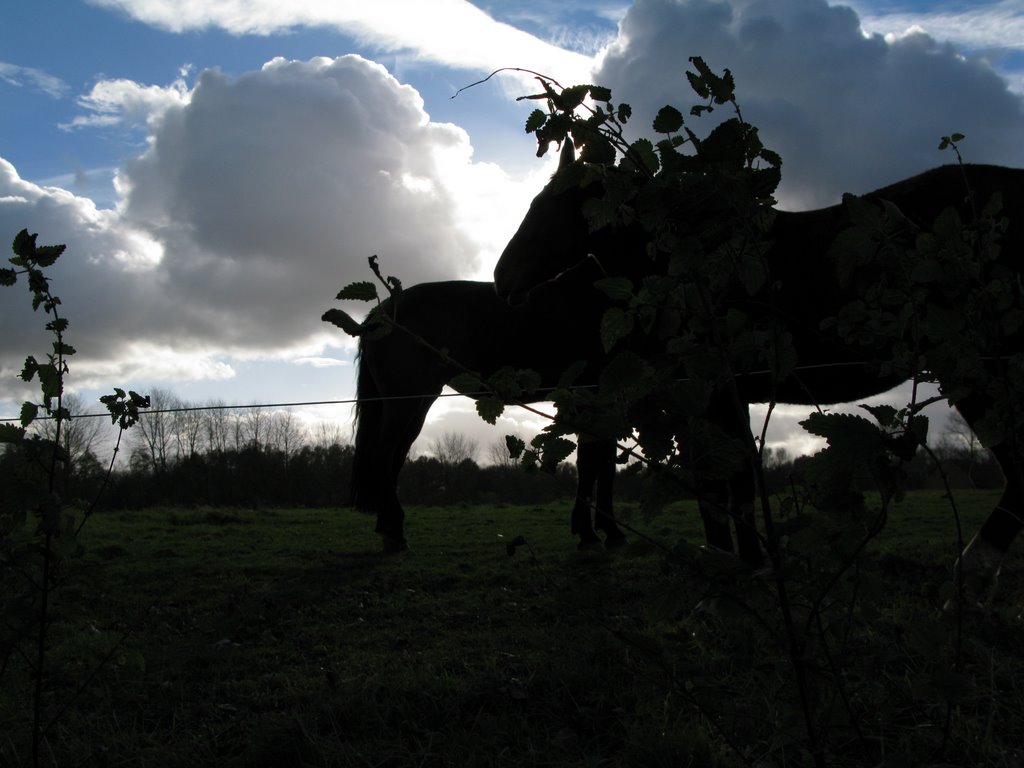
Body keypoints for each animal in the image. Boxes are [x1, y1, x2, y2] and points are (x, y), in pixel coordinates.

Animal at [350, 276, 630, 552]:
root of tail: (380, 312)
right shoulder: (592, 396)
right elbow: (591, 463)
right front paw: (590, 534)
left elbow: (604, 462)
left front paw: (610, 531)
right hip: (406, 402)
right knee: (384, 453)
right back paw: (395, 532)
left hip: (416, 404)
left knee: (395, 456)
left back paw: (388, 529)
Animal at [493, 159, 1024, 606]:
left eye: (552, 209)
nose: (502, 278)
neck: (694, 265)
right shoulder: (722, 400)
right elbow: (733, 479)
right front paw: (744, 561)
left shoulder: (713, 394)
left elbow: (722, 481)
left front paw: (732, 565)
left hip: (977, 368)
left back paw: (972, 579)